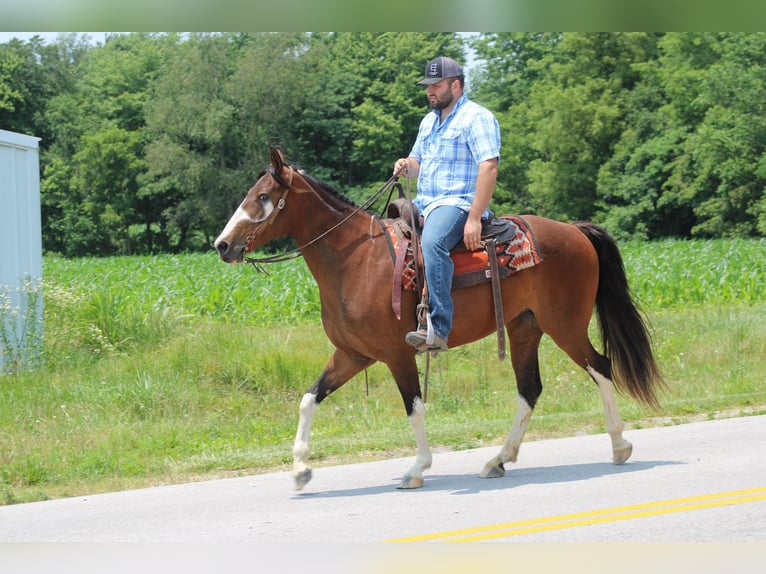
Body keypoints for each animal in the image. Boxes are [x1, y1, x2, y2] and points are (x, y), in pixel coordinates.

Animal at [216, 147, 664, 490]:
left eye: (263, 197)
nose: (222, 245)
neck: (355, 260)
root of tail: (575, 230)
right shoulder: (352, 355)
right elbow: (309, 400)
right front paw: (300, 469)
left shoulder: (396, 353)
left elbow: (414, 408)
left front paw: (416, 469)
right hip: (525, 328)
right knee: (530, 390)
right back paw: (499, 460)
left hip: (565, 325)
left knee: (600, 367)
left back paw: (619, 446)